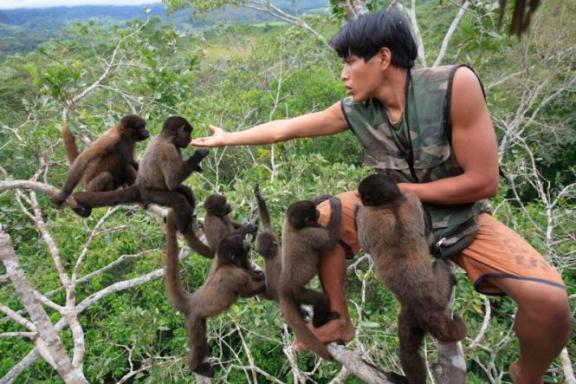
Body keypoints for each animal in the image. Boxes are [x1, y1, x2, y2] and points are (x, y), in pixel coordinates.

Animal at [73, 115, 214, 258]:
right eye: (188, 133)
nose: (190, 139)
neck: (167, 138)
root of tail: (140, 186)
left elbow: (175, 184)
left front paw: (197, 166)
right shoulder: (168, 149)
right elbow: (172, 181)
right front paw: (198, 155)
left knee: (186, 192)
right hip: (152, 194)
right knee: (178, 200)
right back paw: (183, 227)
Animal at [164, 212, 266, 376]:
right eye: (241, 244)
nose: (247, 243)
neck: (226, 264)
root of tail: (191, 301)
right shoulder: (234, 276)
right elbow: (246, 292)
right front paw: (265, 282)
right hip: (194, 322)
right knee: (198, 344)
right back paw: (195, 367)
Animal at [280, 196, 342, 362]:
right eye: (313, 213)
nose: (319, 212)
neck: (294, 227)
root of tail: (284, 286)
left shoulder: (285, 223)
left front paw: (320, 197)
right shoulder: (312, 233)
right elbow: (331, 241)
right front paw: (335, 206)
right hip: (299, 292)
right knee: (321, 299)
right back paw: (319, 323)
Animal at [356, 174, 468, 384]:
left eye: (364, 197)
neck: (392, 202)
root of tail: (427, 304)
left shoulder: (369, 215)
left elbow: (365, 240)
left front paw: (355, 208)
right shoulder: (412, 198)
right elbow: (428, 237)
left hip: (412, 314)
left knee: (408, 350)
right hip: (439, 293)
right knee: (439, 265)